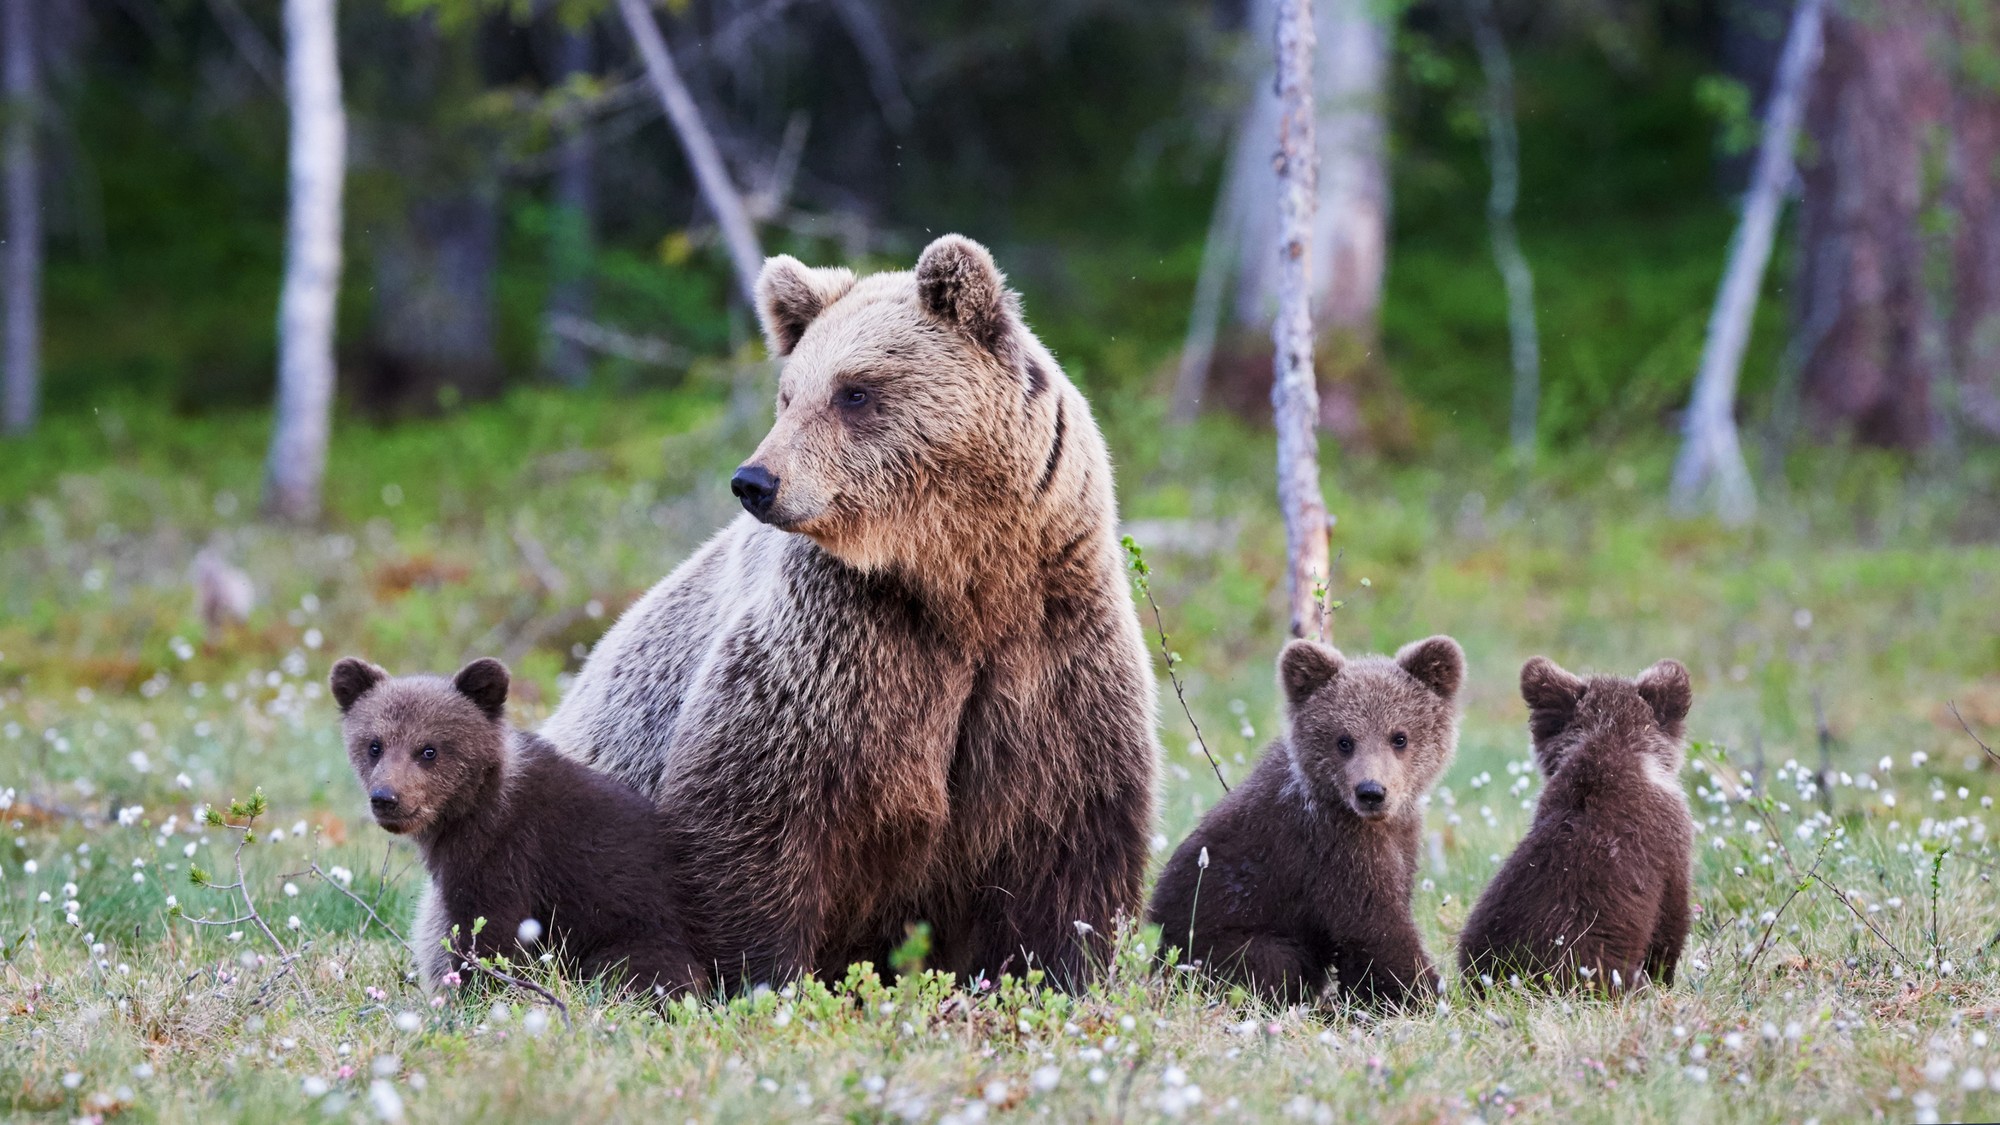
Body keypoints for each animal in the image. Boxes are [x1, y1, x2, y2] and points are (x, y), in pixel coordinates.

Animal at [540, 232, 1168, 984]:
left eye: (855, 390)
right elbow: (753, 815)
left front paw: (1057, 970)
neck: (962, 582)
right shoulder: (838, 648)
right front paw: (760, 975)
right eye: (788, 394)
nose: (755, 481)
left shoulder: (1052, 652)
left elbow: (1069, 841)